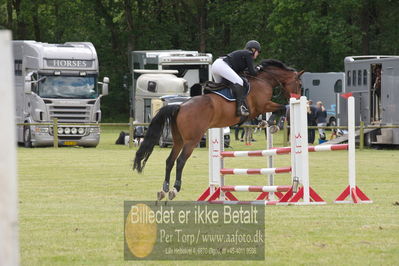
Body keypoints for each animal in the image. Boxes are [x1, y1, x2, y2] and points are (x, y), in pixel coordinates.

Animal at [134, 58, 304, 200]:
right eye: (300, 84)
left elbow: (272, 112)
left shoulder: (260, 108)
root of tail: (180, 106)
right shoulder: (263, 105)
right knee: (181, 160)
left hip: (178, 140)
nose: (297, 96)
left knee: (170, 160)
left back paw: (164, 189)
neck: (263, 80)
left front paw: (266, 123)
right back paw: (175, 189)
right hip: (192, 140)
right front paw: (276, 124)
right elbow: (281, 108)